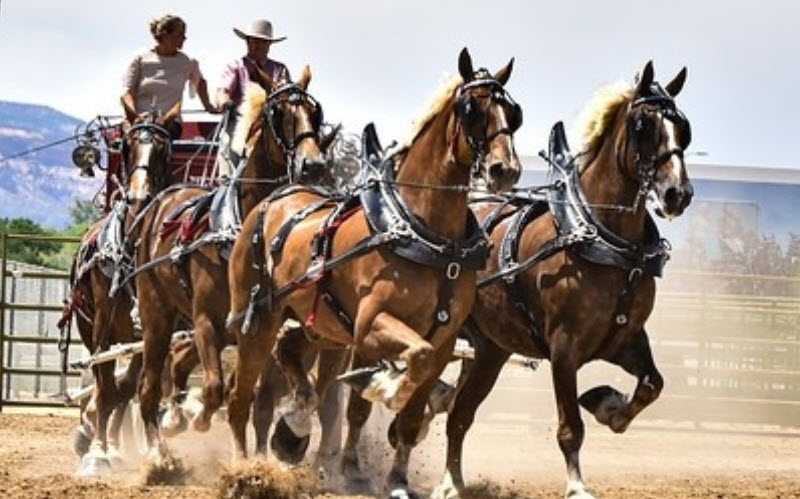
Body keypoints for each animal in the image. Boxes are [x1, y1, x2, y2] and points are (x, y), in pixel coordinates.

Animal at [63, 113, 175, 476]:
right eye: (126, 146)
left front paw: (110, 447)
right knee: (102, 382)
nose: (139, 196)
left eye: (163, 148)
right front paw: (96, 452)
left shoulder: (149, 332)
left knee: (121, 390)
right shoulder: (102, 327)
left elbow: (126, 389)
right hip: (89, 328)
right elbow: (105, 386)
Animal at [131, 67, 328, 464]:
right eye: (278, 112)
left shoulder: (260, 325)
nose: (313, 164)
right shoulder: (207, 321)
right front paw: (196, 414)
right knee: (148, 387)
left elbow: (254, 397)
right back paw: (160, 451)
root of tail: (160, 201)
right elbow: (216, 387)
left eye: (314, 113)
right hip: (157, 315)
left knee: (177, 365)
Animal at [227, 48, 524, 494]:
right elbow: (397, 377)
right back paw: (245, 470)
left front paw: (397, 478)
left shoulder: (443, 341)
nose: (505, 169)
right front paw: (383, 387)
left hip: (320, 325)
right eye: (471, 108)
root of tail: (273, 198)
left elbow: (412, 411)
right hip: (258, 318)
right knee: (240, 397)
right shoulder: (371, 325)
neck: (427, 234)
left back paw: (292, 431)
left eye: (513, 111)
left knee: (291, 356)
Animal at [432, 62, 692, 499]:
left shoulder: (625, 337)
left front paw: (610, 407)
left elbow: (652, 384)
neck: (602, 236)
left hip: (489, 350)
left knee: (459, 414)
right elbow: (570, 427)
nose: (678, 193)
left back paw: (452, 481)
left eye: (683, 127)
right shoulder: (564, 348)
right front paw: (576, 485)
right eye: (642, 125)